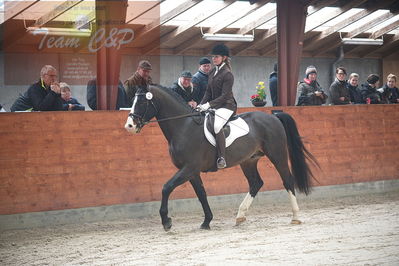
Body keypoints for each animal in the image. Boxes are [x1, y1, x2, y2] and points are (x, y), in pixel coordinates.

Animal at [125, 85, 318, 231]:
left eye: (141, 101)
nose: (129, 126)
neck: (183, 127)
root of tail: (273, 116)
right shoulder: (192, 172)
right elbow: (201, 194)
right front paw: (206, 221)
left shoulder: (189, 168)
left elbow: (166, 187)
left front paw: (166, 221)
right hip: (248, 161)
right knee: (256, 183)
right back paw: (240, 216)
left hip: (277, 155)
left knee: (287, 180)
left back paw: (295, 217)